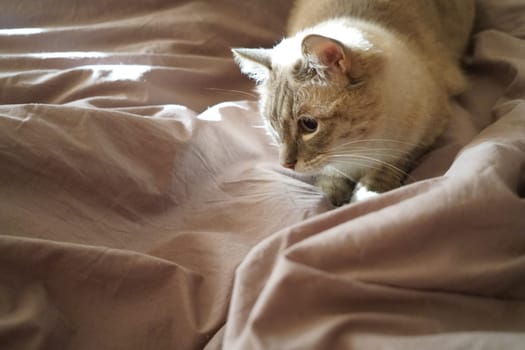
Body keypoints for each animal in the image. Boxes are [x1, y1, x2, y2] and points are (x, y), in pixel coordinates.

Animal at [231, 0, 472, 205]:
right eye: (273, 126)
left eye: (309, 125)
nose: (285, 165)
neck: (355, 149)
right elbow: (330, 178)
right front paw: (333, 200)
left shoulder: (426, 132)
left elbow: (392, 162)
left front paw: (367, 194)